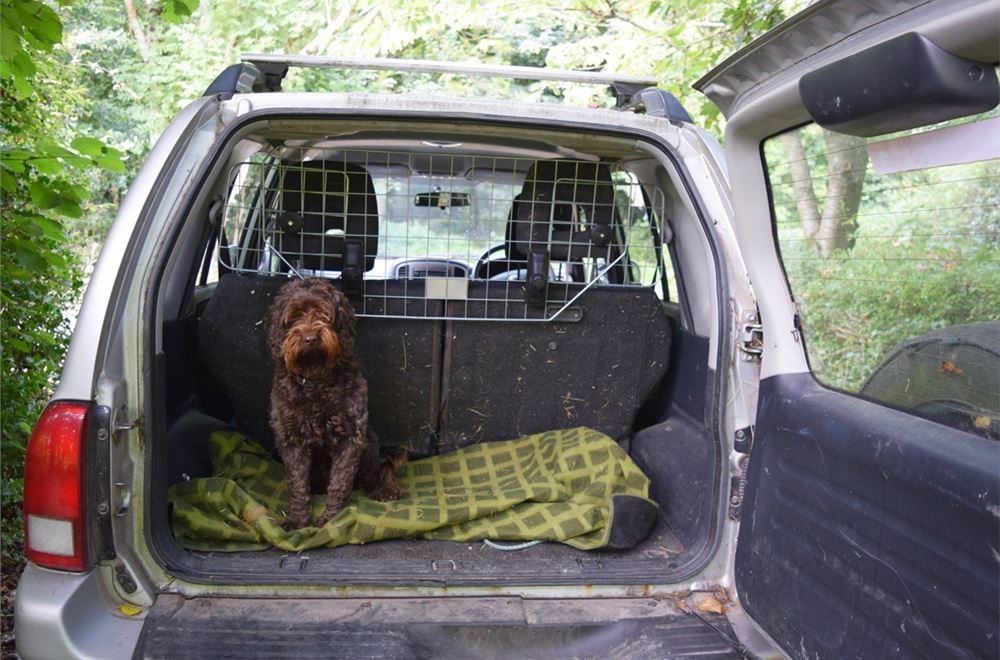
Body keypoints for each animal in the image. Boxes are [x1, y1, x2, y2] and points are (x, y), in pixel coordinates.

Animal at [270, 276, 406, 528]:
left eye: (324, 313)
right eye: (294, 316)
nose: (310, 338)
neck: (315, 379)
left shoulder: (350, 437)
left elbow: (340, 482)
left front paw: (332, 519)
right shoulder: (291, 440)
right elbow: (297, 483)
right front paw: (297, 519)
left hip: (369, 441)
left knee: (372, 475)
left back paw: (384, 490)